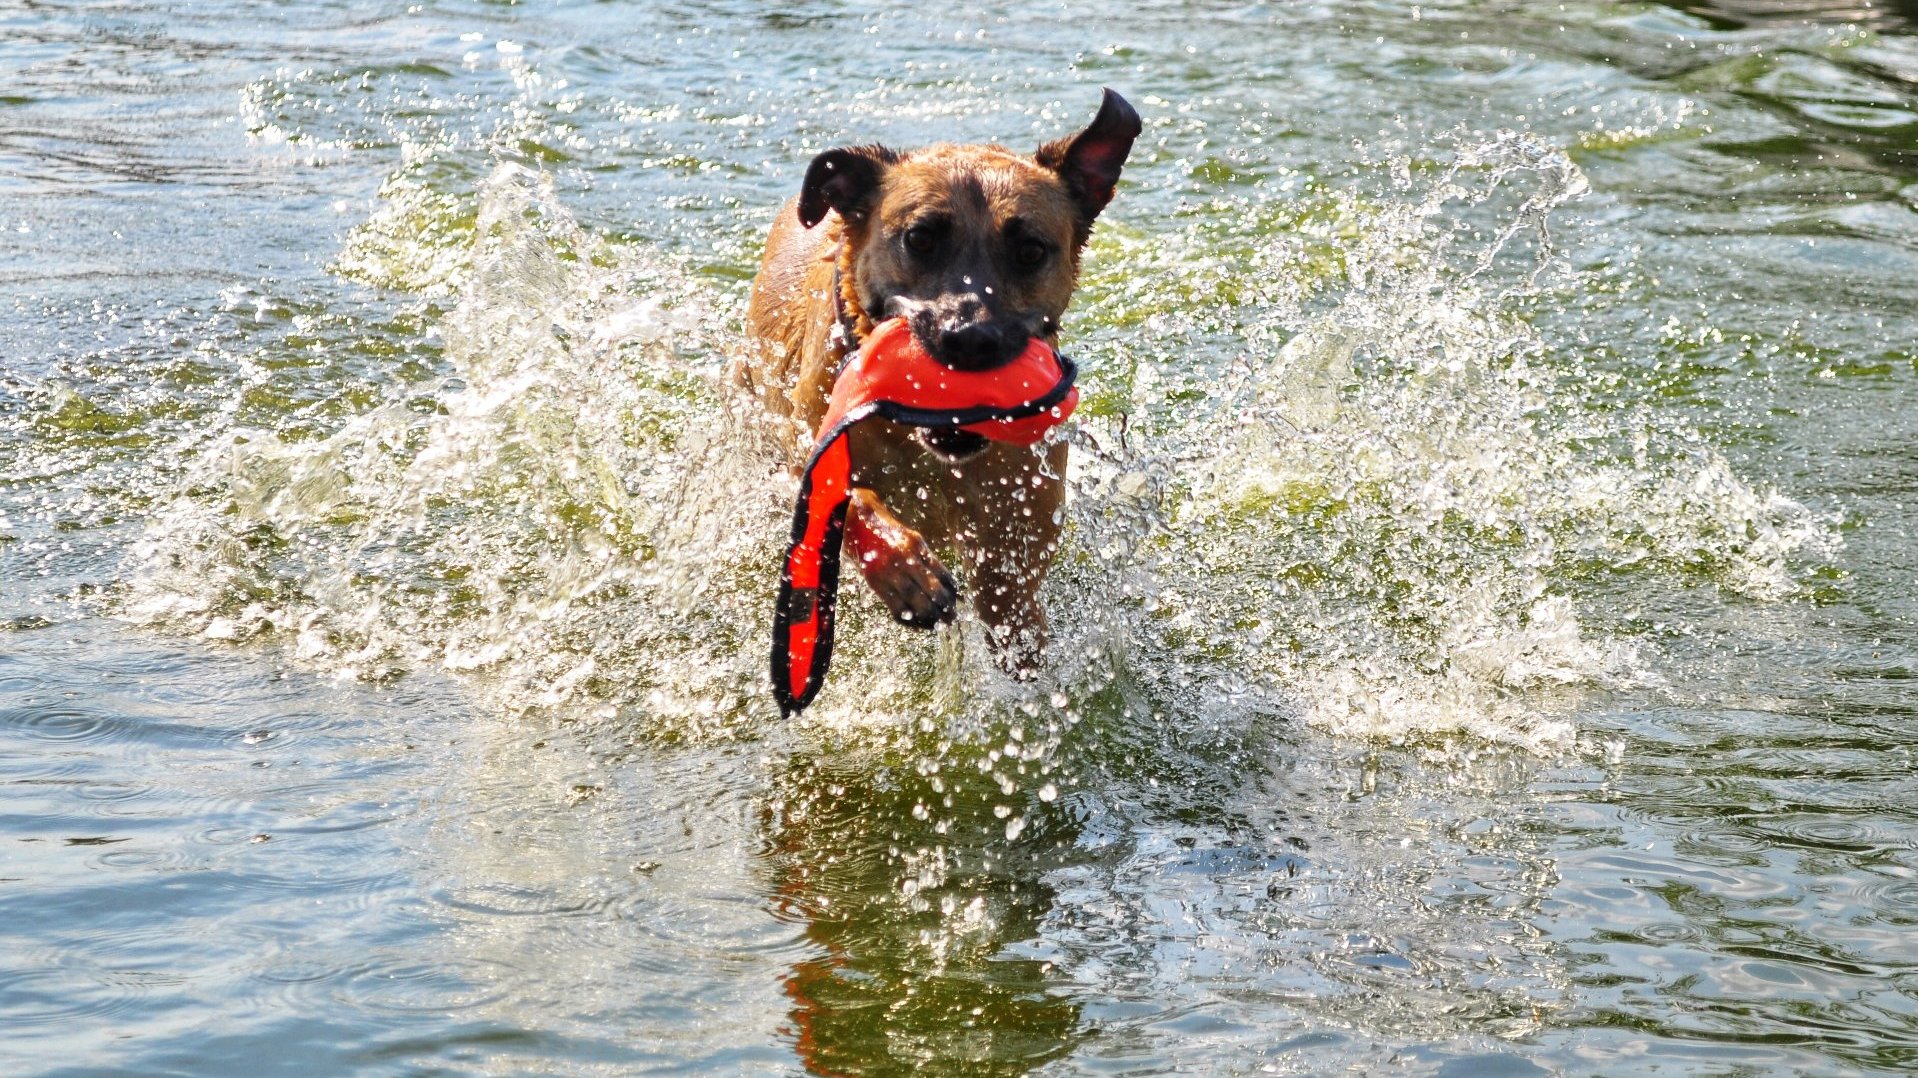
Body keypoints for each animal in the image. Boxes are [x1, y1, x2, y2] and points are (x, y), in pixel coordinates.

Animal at [740, 88, 1135, 667]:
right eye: (920, 238)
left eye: (1031, 250)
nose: (969, 337)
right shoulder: (798, 455)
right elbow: (851, 501)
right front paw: (908, 575)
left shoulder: (1012, 548)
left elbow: (1012, 613)